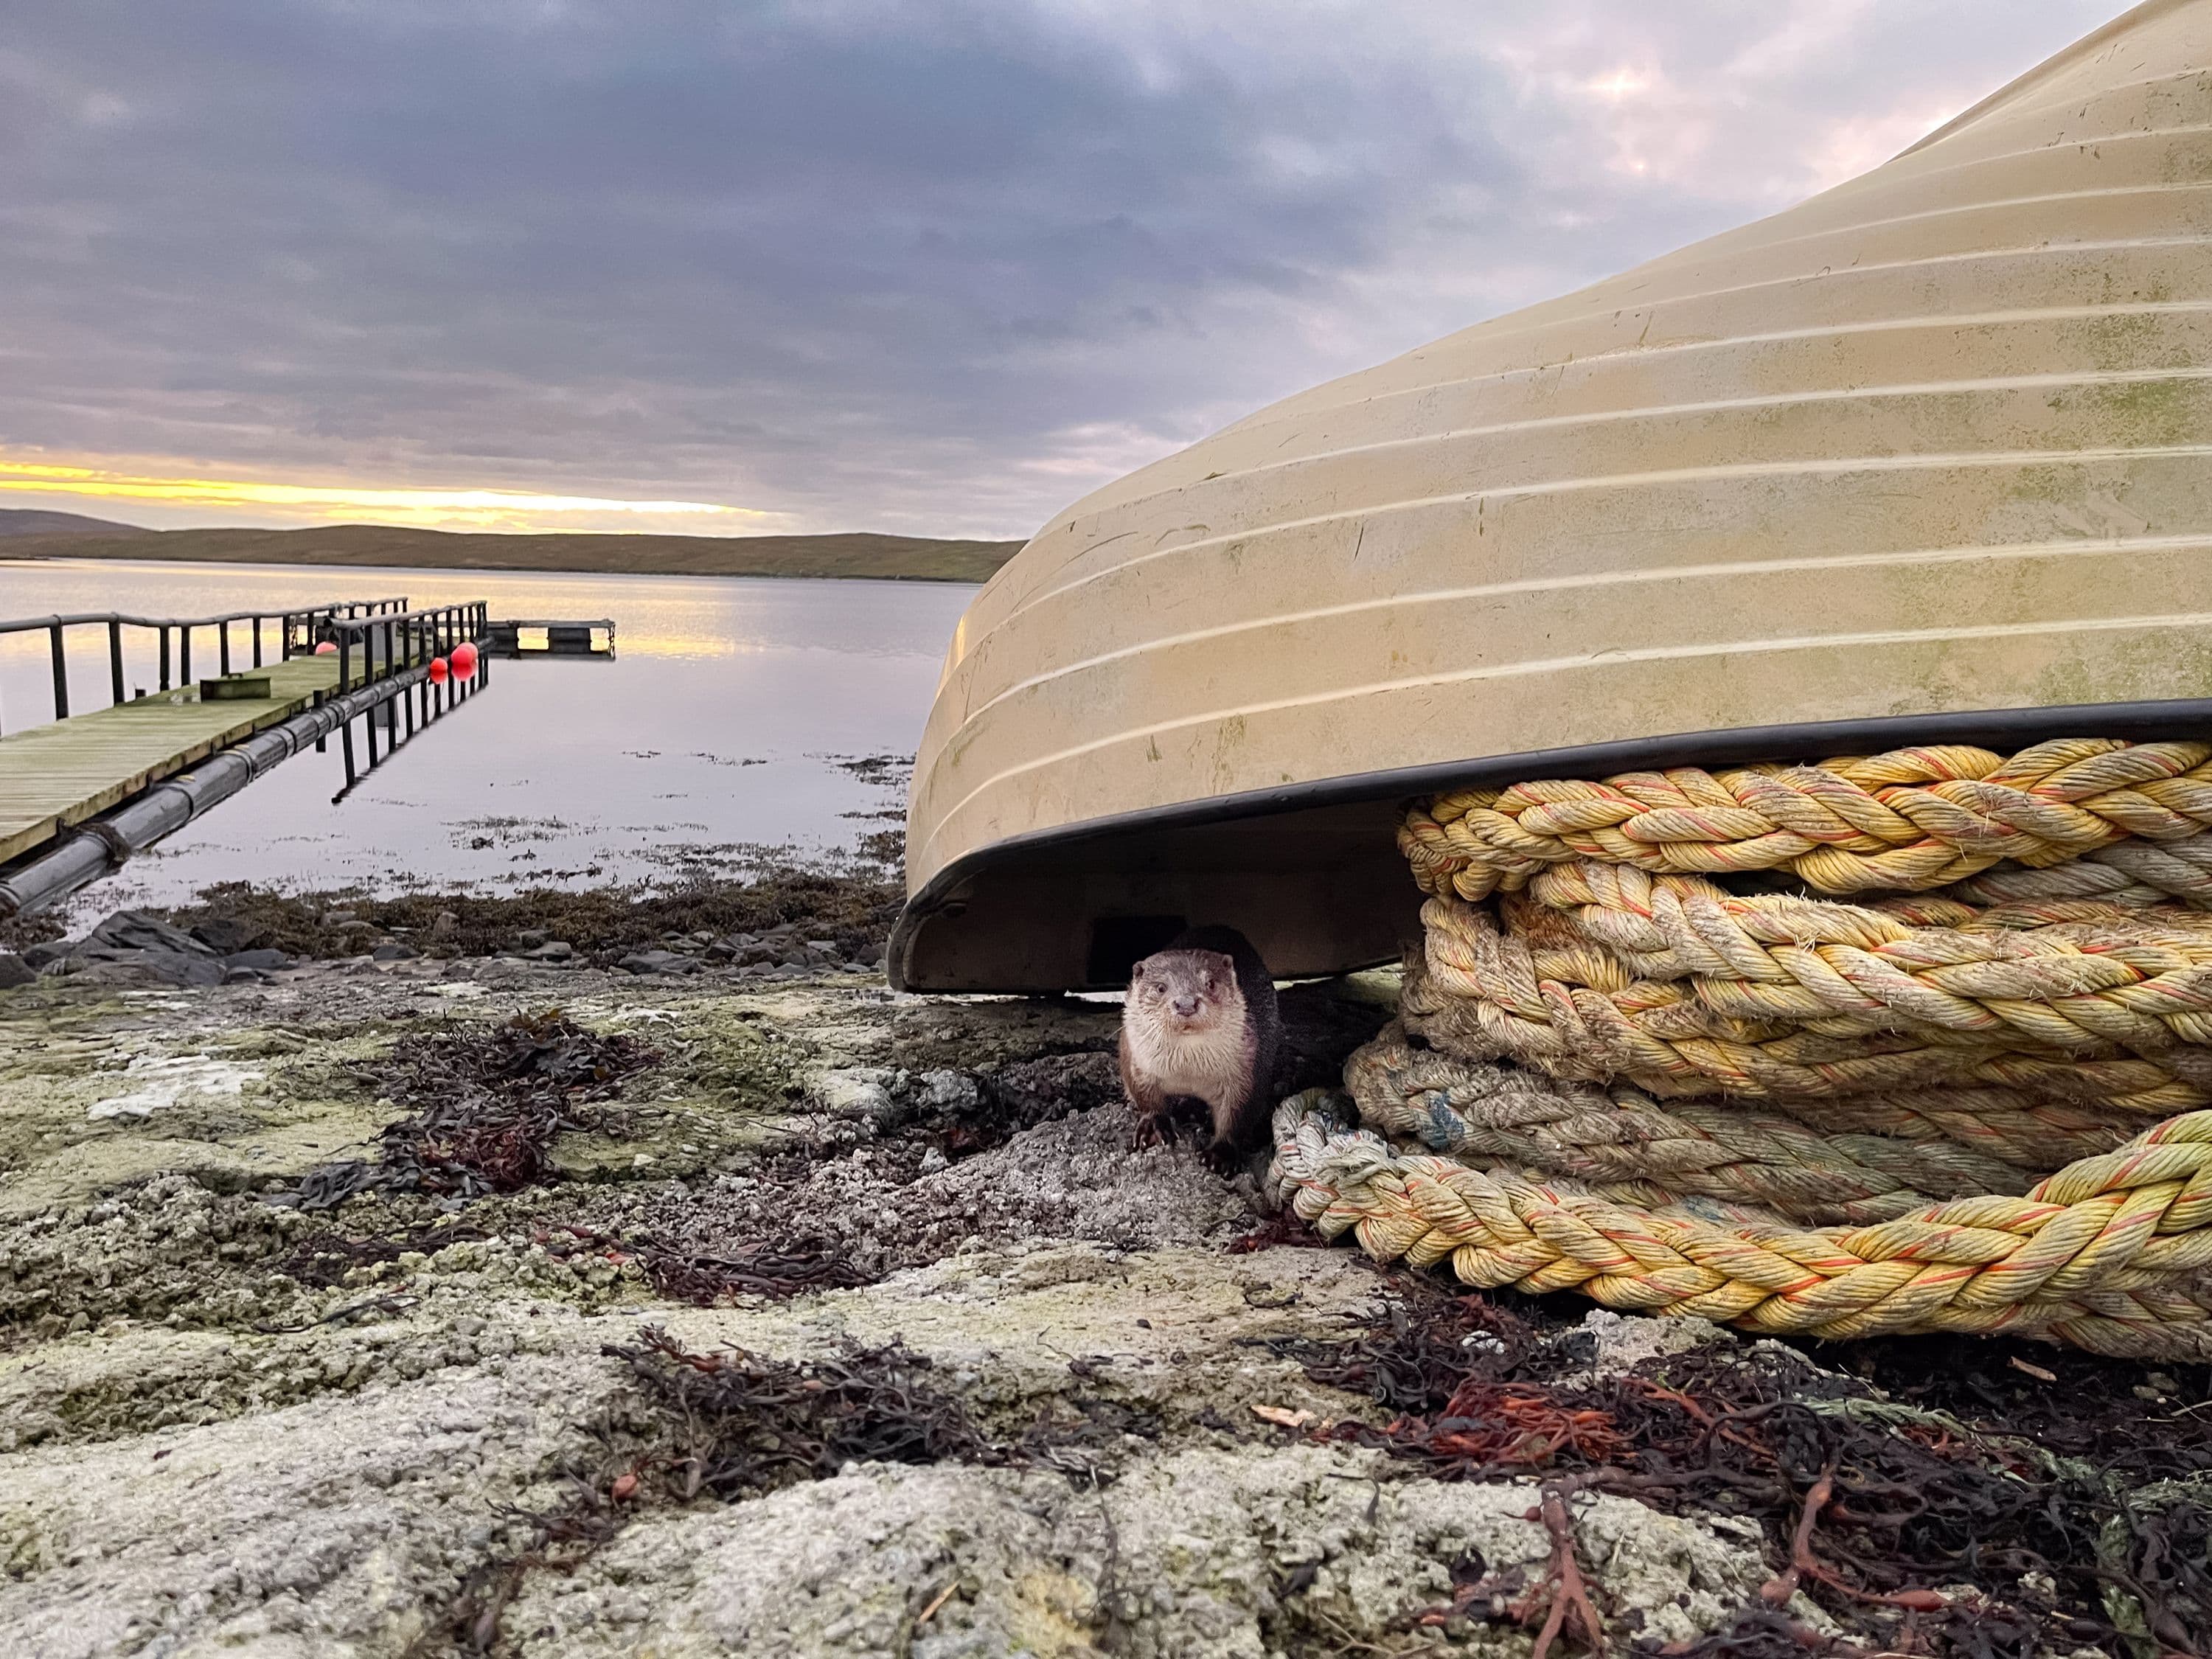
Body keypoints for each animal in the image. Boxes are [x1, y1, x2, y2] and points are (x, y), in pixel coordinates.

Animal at [1119, 925, 1283, 1173]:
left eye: (1211, 983)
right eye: (1161, 987)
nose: (1186, 1003)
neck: (1189, 1073)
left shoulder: (1248, 1070)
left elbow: (1238, 1113)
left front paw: (1222, 1153)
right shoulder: (1136, 1060)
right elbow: (1145, 1096)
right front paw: (1154, 1126)